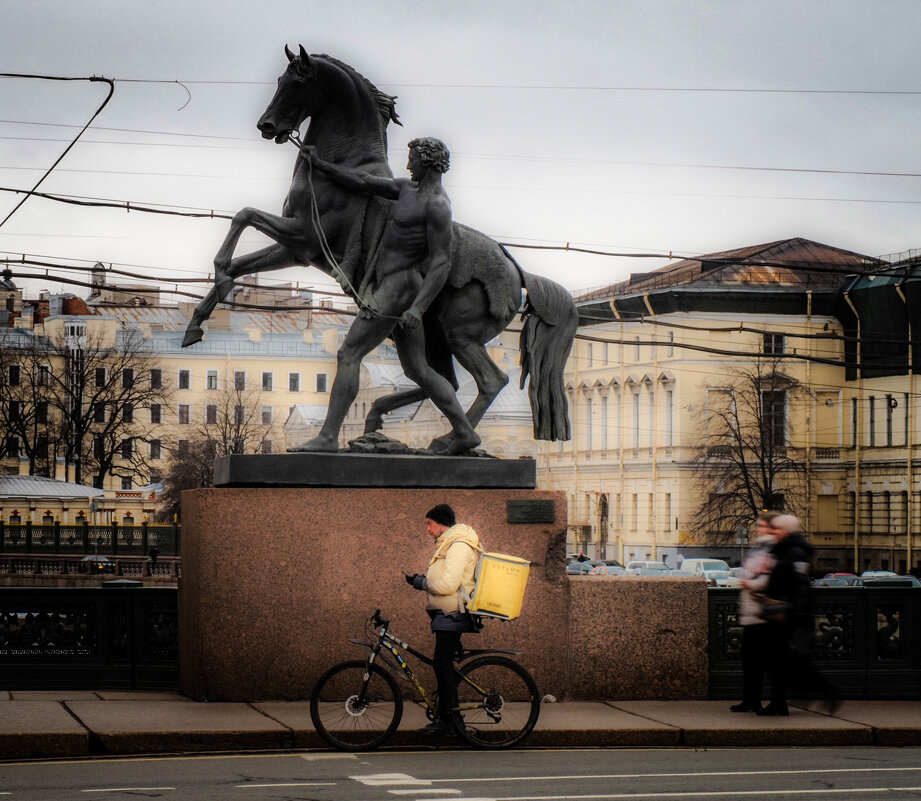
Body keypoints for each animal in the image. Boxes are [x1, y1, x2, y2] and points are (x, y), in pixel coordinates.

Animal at [181, 48, 576, 450]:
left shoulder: (305, 238)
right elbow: (240, 249)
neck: (344, 167)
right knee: (441, 381)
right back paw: (400, 427)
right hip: (432, 335)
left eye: (298, 81)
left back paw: (451, 441)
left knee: (489, 381)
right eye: (279, 80)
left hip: (459, 335)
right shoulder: (297, 250)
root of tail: (519, 273)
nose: (267, 125)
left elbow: (243, 217)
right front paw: (198, 320)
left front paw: (216, 286)